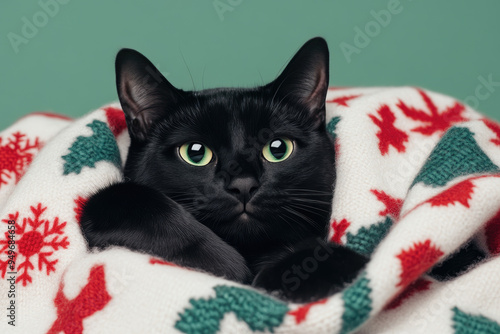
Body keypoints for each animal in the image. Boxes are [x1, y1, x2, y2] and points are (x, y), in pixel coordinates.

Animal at [79, 37, 368, 302]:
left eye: (278, 148)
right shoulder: (108, 205)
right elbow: (127, 200)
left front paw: (285, 275)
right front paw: (231, 268)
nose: (243, 184)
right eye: (195, 153)